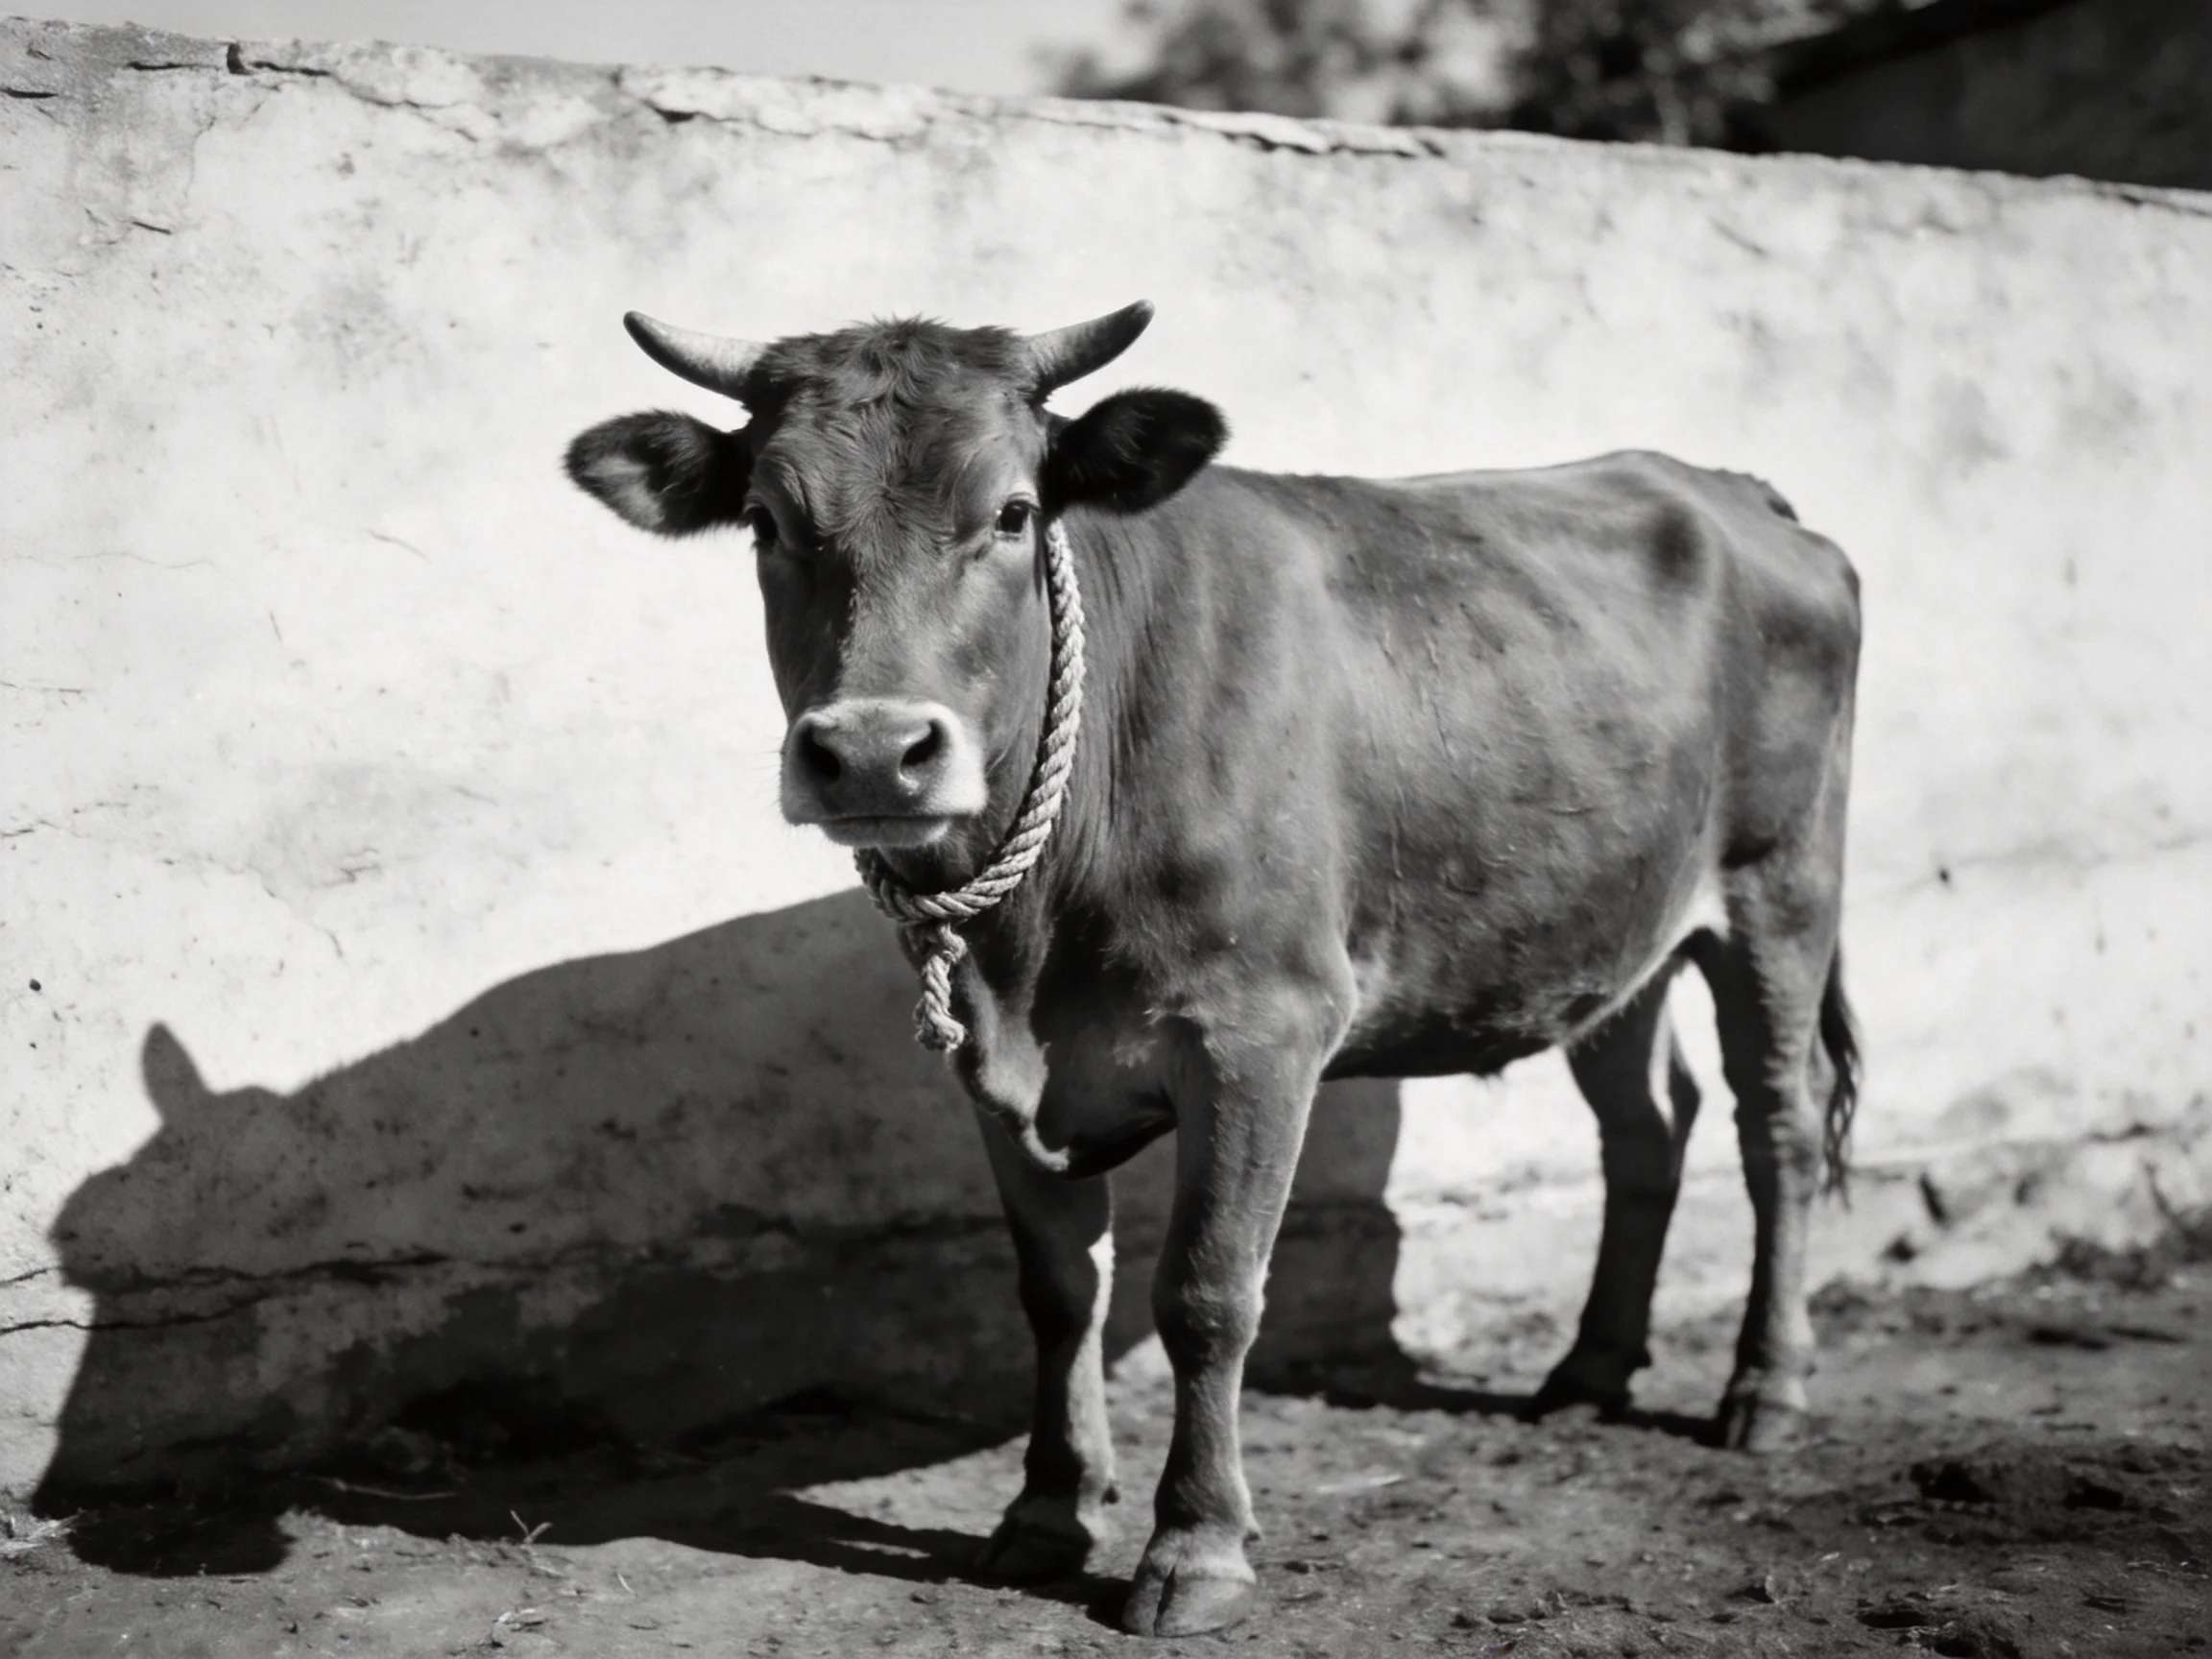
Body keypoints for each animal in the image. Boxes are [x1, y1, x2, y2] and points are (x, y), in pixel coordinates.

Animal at [564, 301, 1861, 1638]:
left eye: (1014, 512)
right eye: (769, 522)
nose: (874, 752)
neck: (1031, 937)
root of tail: (1720, 486)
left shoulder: (1262, 1033)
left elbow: (1207, 1291)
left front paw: (1195, 1548)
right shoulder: (989, 1067)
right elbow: (1058, 1293)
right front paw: (1048, 1512)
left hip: (1779, 885)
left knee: (1776, 1120)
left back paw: (1767, 1390)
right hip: (1606, 927)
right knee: (1648, 1125)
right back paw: (1590, 1368)